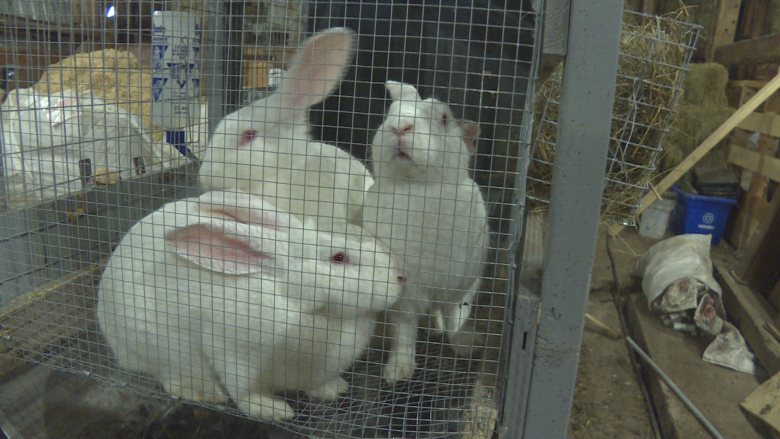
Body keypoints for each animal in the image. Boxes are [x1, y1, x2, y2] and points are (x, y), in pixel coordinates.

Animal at [94, 191, 406, 422]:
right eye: (339, 257)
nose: (401, 276)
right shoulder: (232, 353)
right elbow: (244, 394)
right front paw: (274, 410)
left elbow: (318, 383)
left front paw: (334, 389)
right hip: (166, 350)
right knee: (173, 378)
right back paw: (208, 393)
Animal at [358, 81, 488, 384]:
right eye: (390, 113)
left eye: (444, 118)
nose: (400, 127)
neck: (417, 187)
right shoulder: (405, 294)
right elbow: (404, 331)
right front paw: (397, 372)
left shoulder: (464, 285)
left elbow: (456, 317)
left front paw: (466, 345)